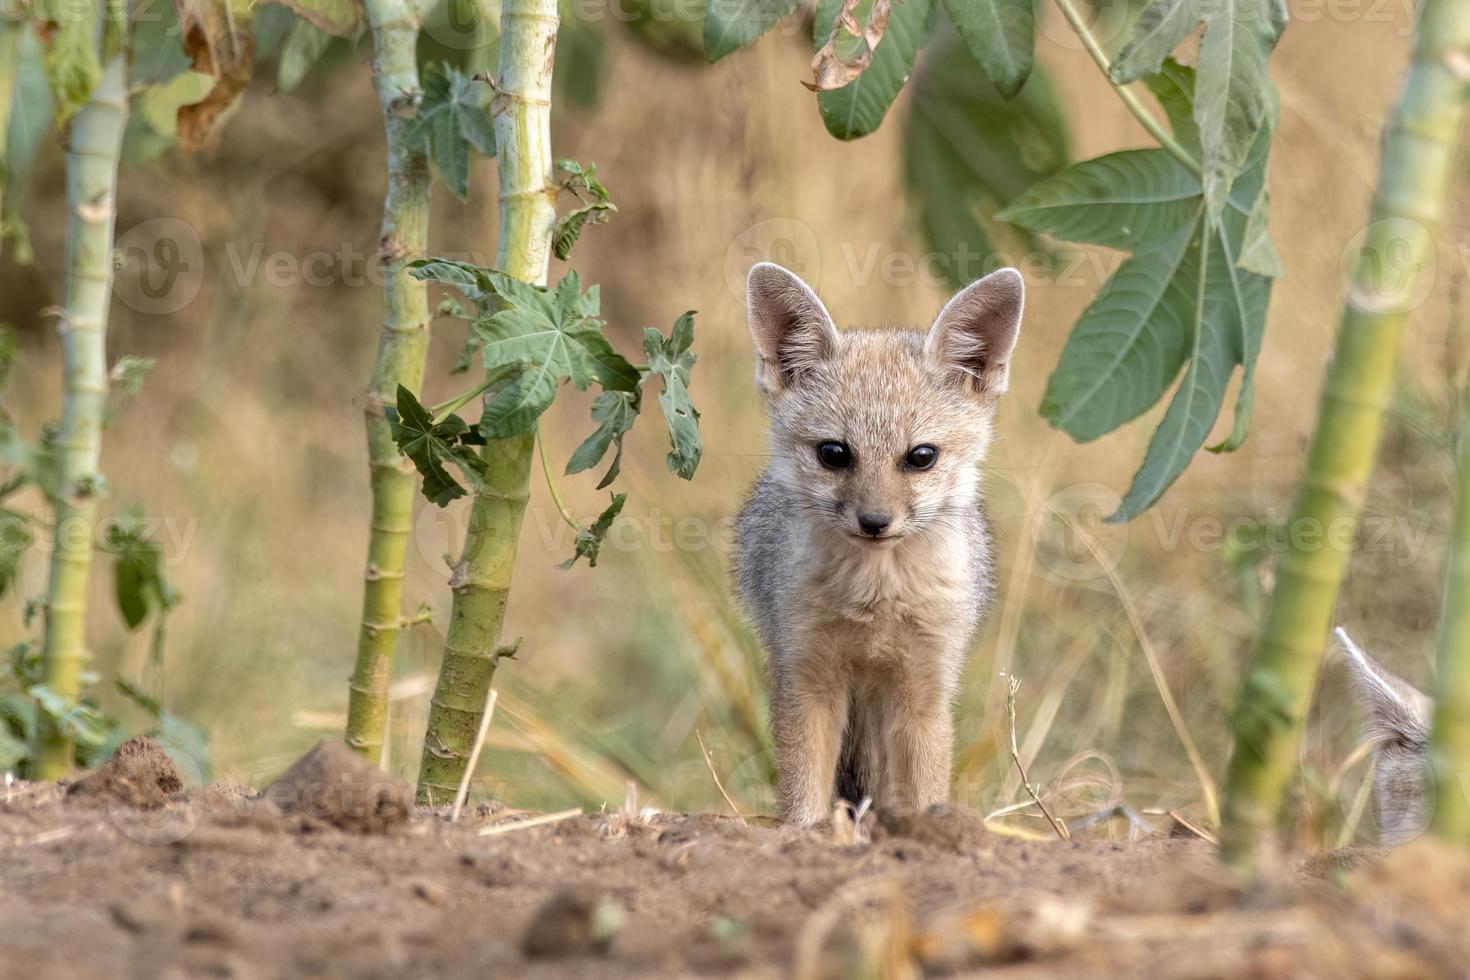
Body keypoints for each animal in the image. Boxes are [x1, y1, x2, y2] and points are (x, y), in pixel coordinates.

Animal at [735, 262, 1023, 828]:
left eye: (921, 456)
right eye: (833, 453)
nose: (874, 521)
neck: (876, 597)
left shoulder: (925, 685)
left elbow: (923, 788)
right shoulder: (806, 675)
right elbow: (803, 790)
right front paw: (807, 835)